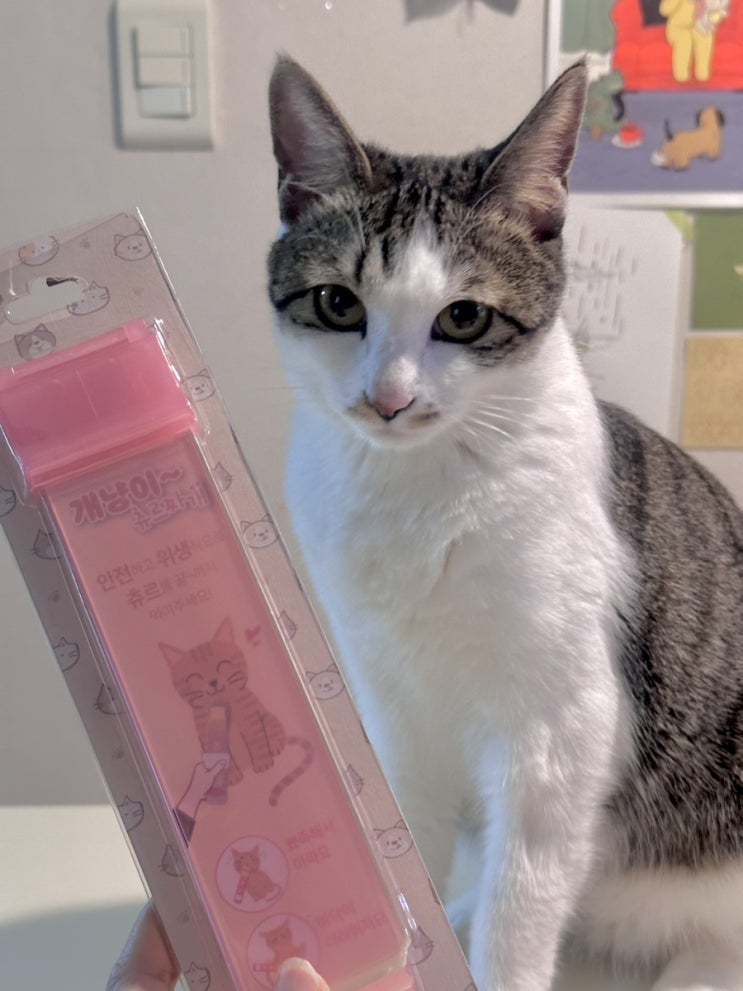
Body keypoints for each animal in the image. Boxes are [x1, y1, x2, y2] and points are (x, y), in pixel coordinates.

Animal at [161, 617, 313, 806]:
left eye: (222, 665)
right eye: (195, 677)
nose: (213, 682)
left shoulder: (252, 721)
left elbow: (257, 743)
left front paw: (263, 765)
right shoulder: (206, 736)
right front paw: (232, 777)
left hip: (269, 718)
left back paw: (275, 746)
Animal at [267, 57, 743, 991]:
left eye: (463, 316)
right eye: (338, 302)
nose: (387, 398)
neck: (414, 492)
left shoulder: (561, 726)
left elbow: (519, 900)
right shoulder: (391, 698)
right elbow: (409, 830)